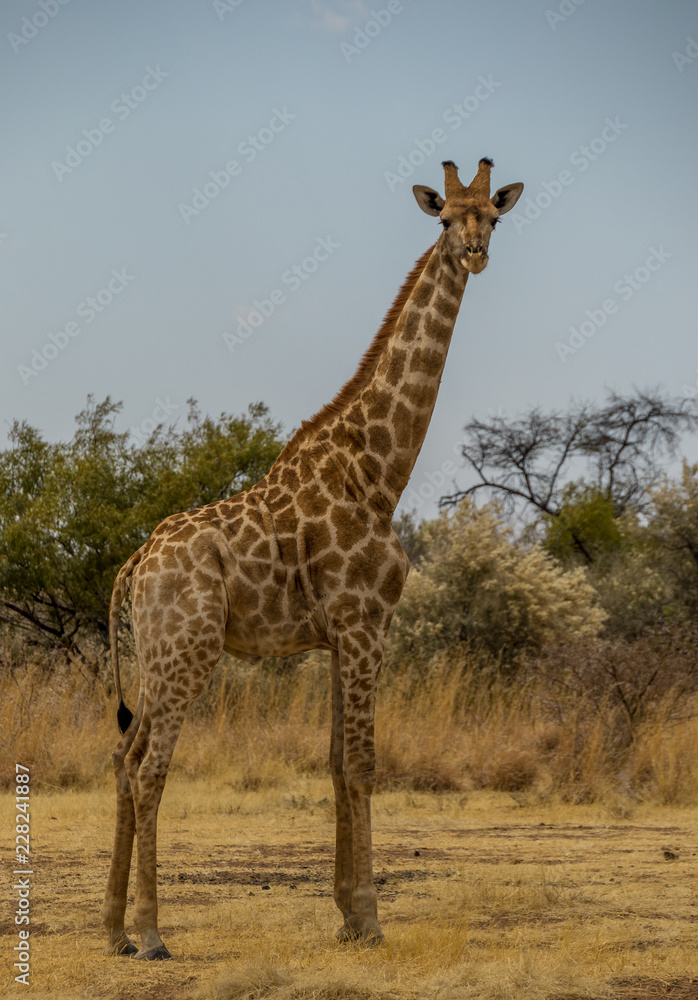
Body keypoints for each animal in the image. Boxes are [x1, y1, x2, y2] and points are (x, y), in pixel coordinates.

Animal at [102, 157, 523, 960]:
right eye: (444, 216)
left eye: (494, 214)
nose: (476, 252)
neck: (379, 471)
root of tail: (132, 567)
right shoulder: (365, 623)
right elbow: (361, 763)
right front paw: (370, 917)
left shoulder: (338, 635)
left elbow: (333, 761)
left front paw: (346, 916)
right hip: (188, 650)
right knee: (150, 767)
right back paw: (151, 932)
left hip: (153, 654)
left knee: (122, 757)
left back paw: (111, 929)